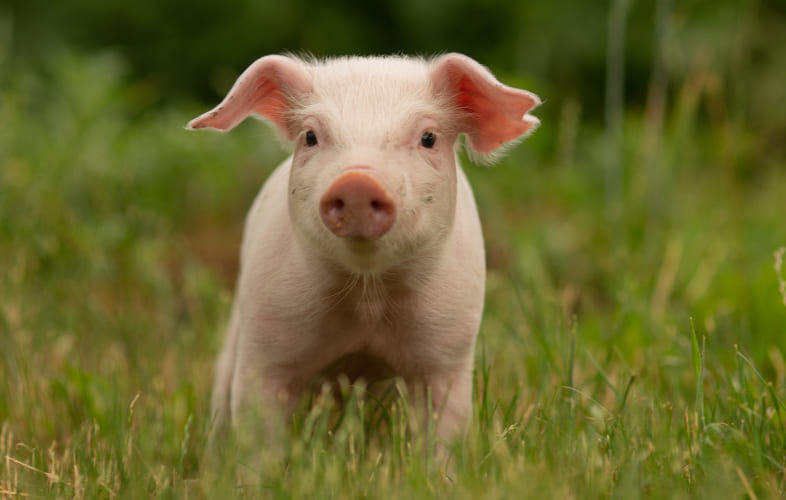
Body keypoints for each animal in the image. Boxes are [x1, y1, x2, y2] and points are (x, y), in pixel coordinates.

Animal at [188, 53, 540, 449]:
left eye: (428, 138)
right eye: (310, 136)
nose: (357, 181)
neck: (367, 296)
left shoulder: (449, 351)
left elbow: (441, 430)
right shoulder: (266, 342)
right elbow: (259, 429)